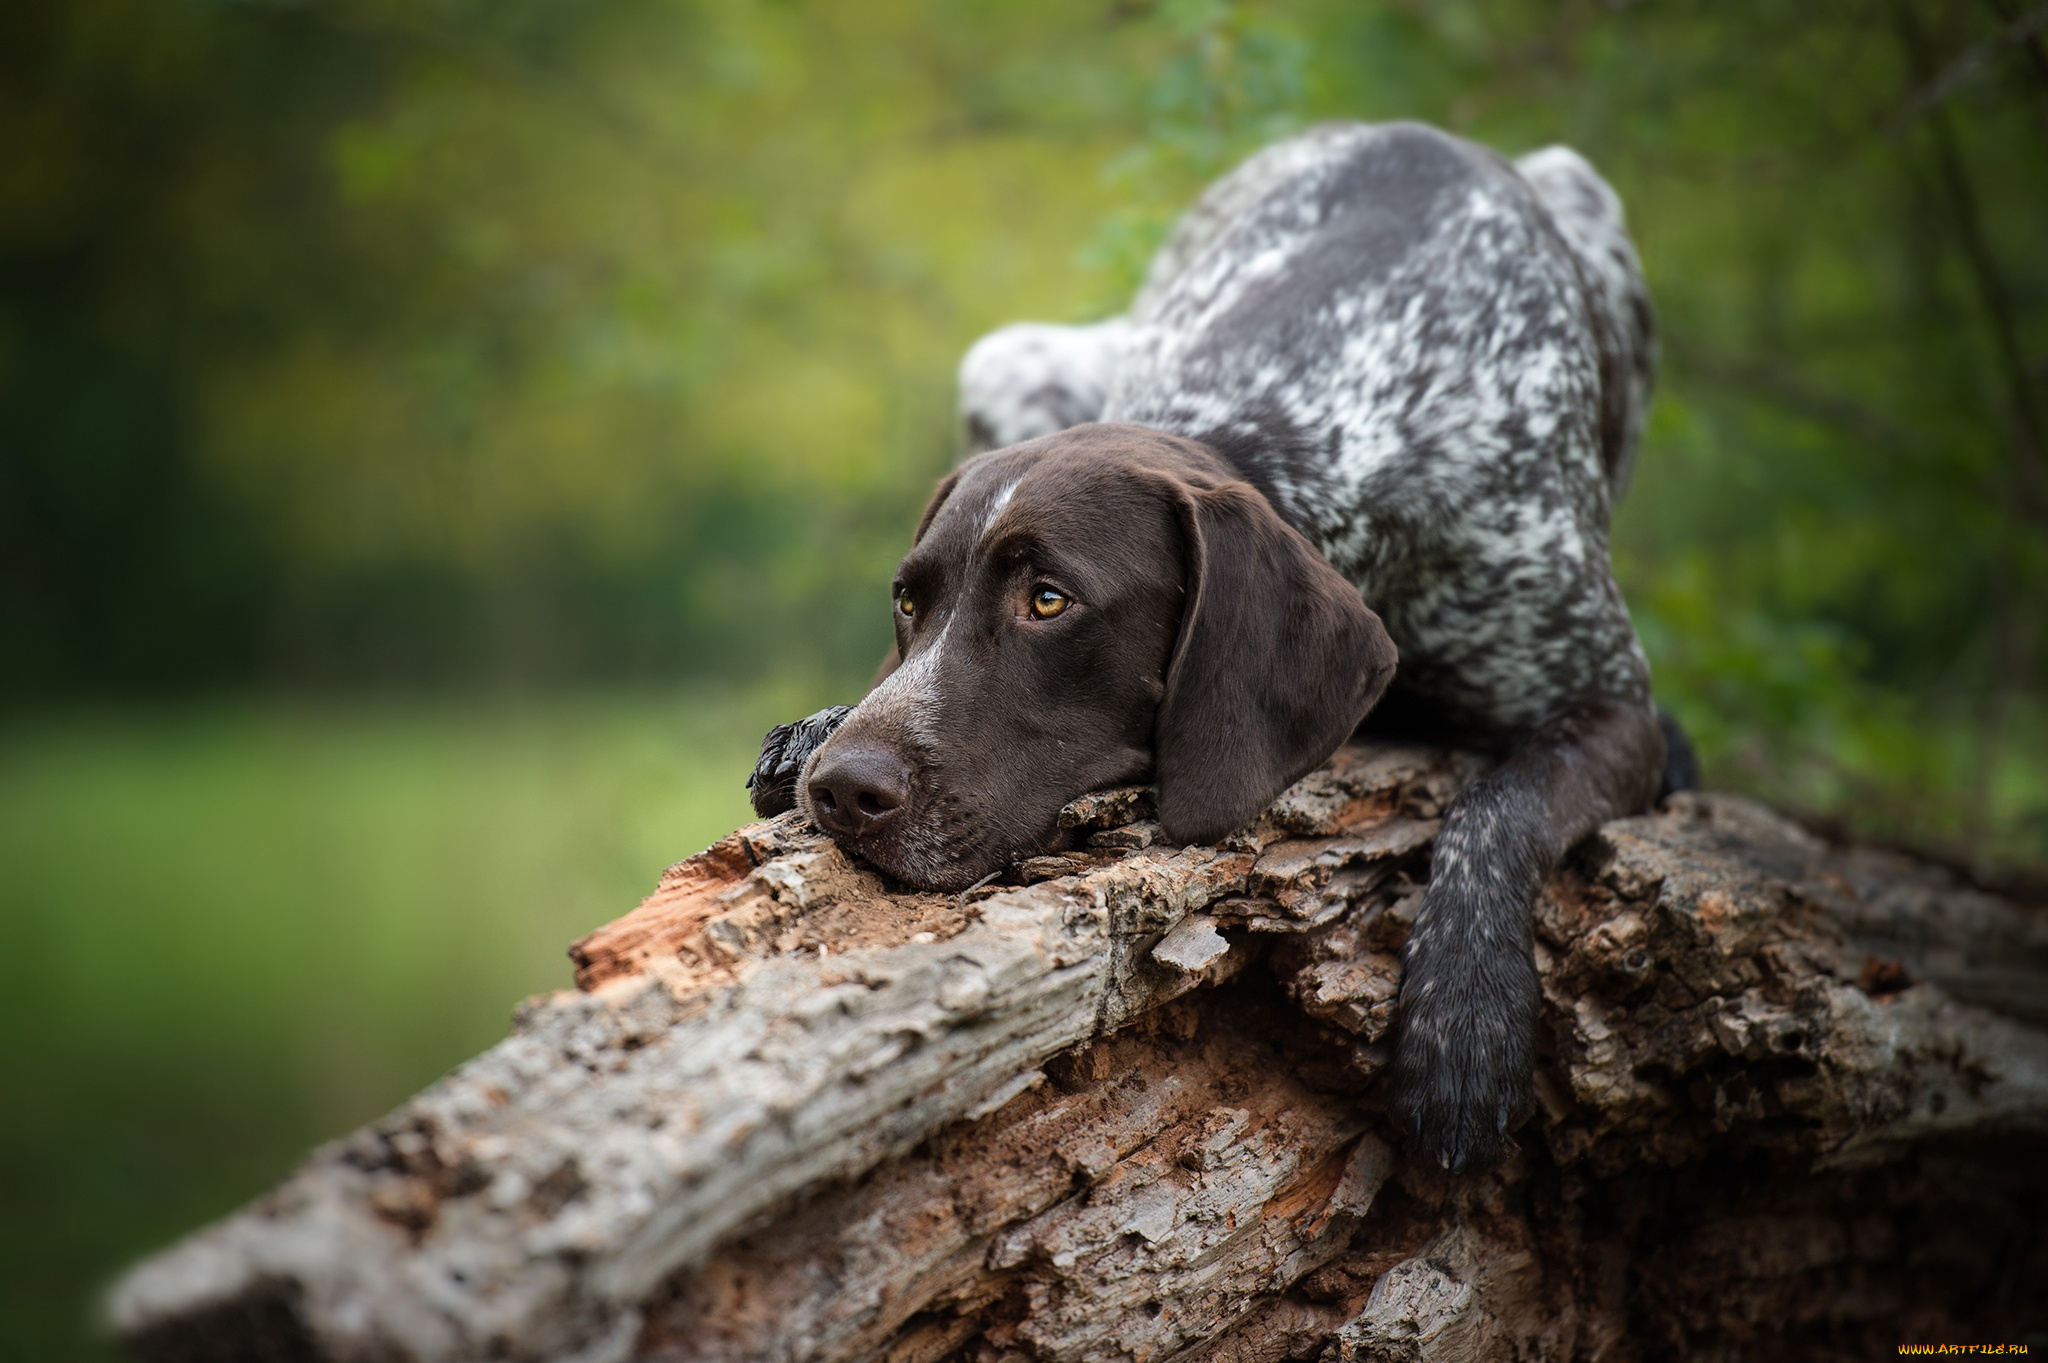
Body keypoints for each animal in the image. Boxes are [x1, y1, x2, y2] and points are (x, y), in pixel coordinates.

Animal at [745, 122, 1687, 1170]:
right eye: (910, 600)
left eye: (1048, 600)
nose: (842, 790)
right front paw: (814, 727)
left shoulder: (1616, 708)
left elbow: (1500, 804)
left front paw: (1467, 1022)